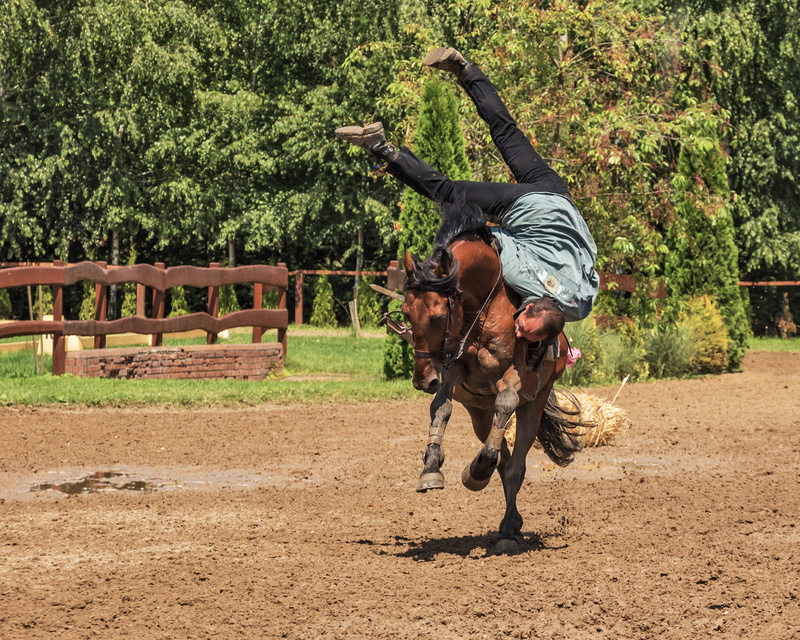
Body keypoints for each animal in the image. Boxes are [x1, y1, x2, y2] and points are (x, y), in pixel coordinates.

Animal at [394, 201, 586, 555]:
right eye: (406, 314)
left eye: (438, 316)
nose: (422, 380)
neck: (483, 307)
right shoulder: (451, 371)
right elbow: (440, 409)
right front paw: (431, 467)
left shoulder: (511, 381)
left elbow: (506, 403)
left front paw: (475, 471)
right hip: (479, 413)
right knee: (502, 455)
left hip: (533, 406)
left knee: (515, 465)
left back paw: (508, 528)